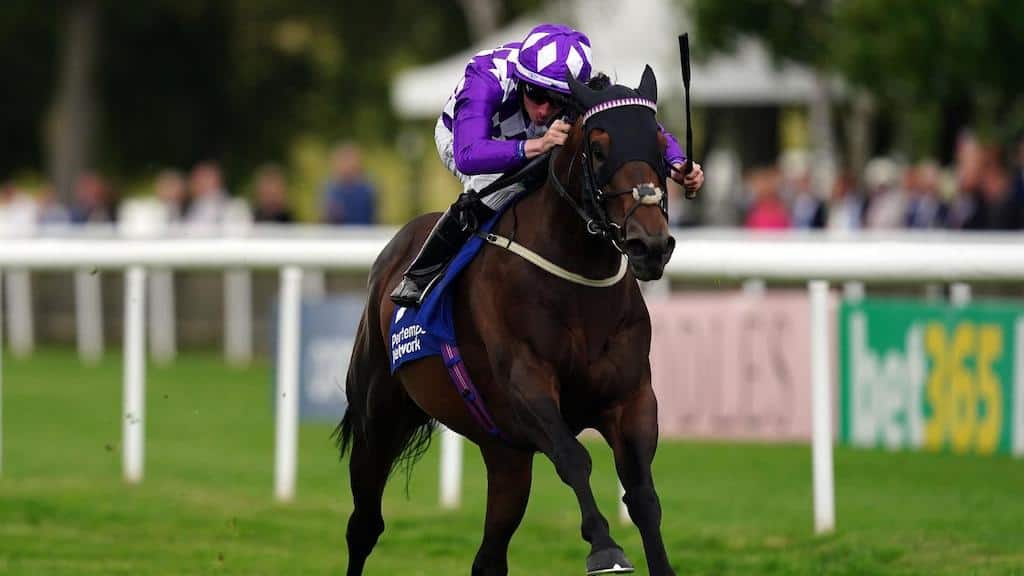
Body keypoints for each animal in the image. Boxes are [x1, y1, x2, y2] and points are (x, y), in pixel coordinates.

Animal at [336, 66, 679, 576]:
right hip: (379, 417)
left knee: (489, 558)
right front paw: (604, 547)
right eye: (599, 148)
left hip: (505, 454)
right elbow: (574, 458)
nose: (649, 244)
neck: (578, 283)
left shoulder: (632, 397)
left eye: (659, 144)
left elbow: (642, 493)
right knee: (364, 525)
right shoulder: (526, 385)